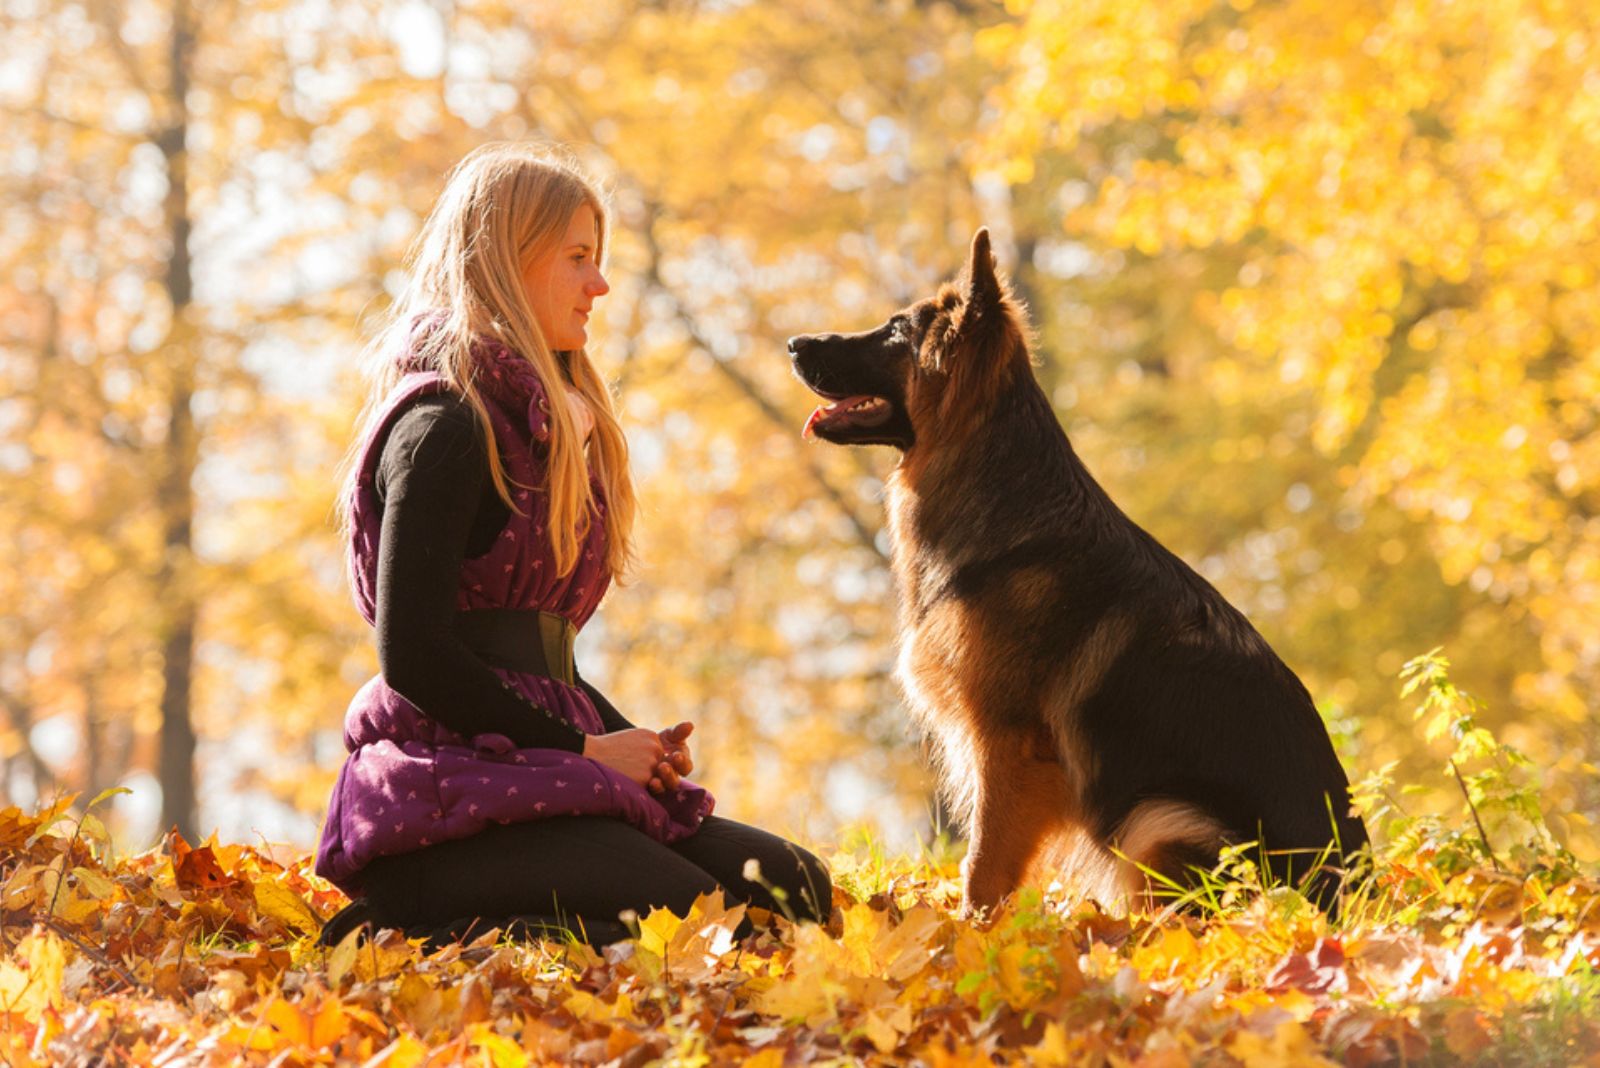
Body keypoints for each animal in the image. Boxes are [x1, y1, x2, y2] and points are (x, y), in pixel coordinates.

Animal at [787, 230, 1363, 914]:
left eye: (895, 331)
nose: (794, 343)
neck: (1001, 487)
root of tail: (1347, 894)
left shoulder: (1007, 749)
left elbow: (982, 867)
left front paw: (972, 932)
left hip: (1158, 819)